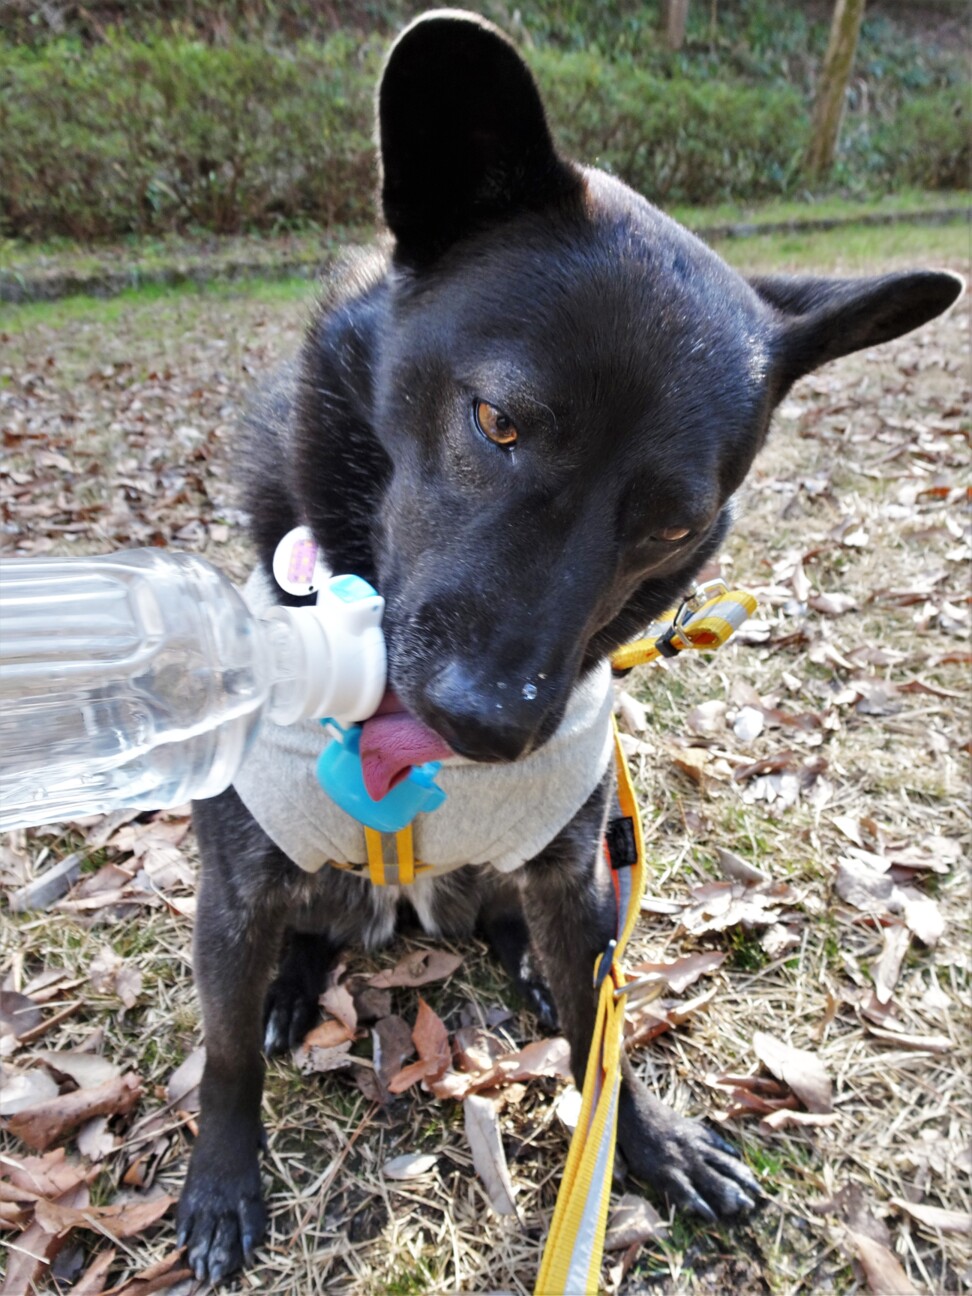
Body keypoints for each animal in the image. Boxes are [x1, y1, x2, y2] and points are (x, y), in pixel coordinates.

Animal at [175, 10, 962, 1283]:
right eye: (498, 421)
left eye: (679, 525)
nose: (489, 722)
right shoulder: (237, 889)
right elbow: (228, 1054)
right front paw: (219, 1181)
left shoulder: (568, 877)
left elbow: (606, 1032)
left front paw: (645, 1142)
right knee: (300, 944)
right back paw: (297, 988)